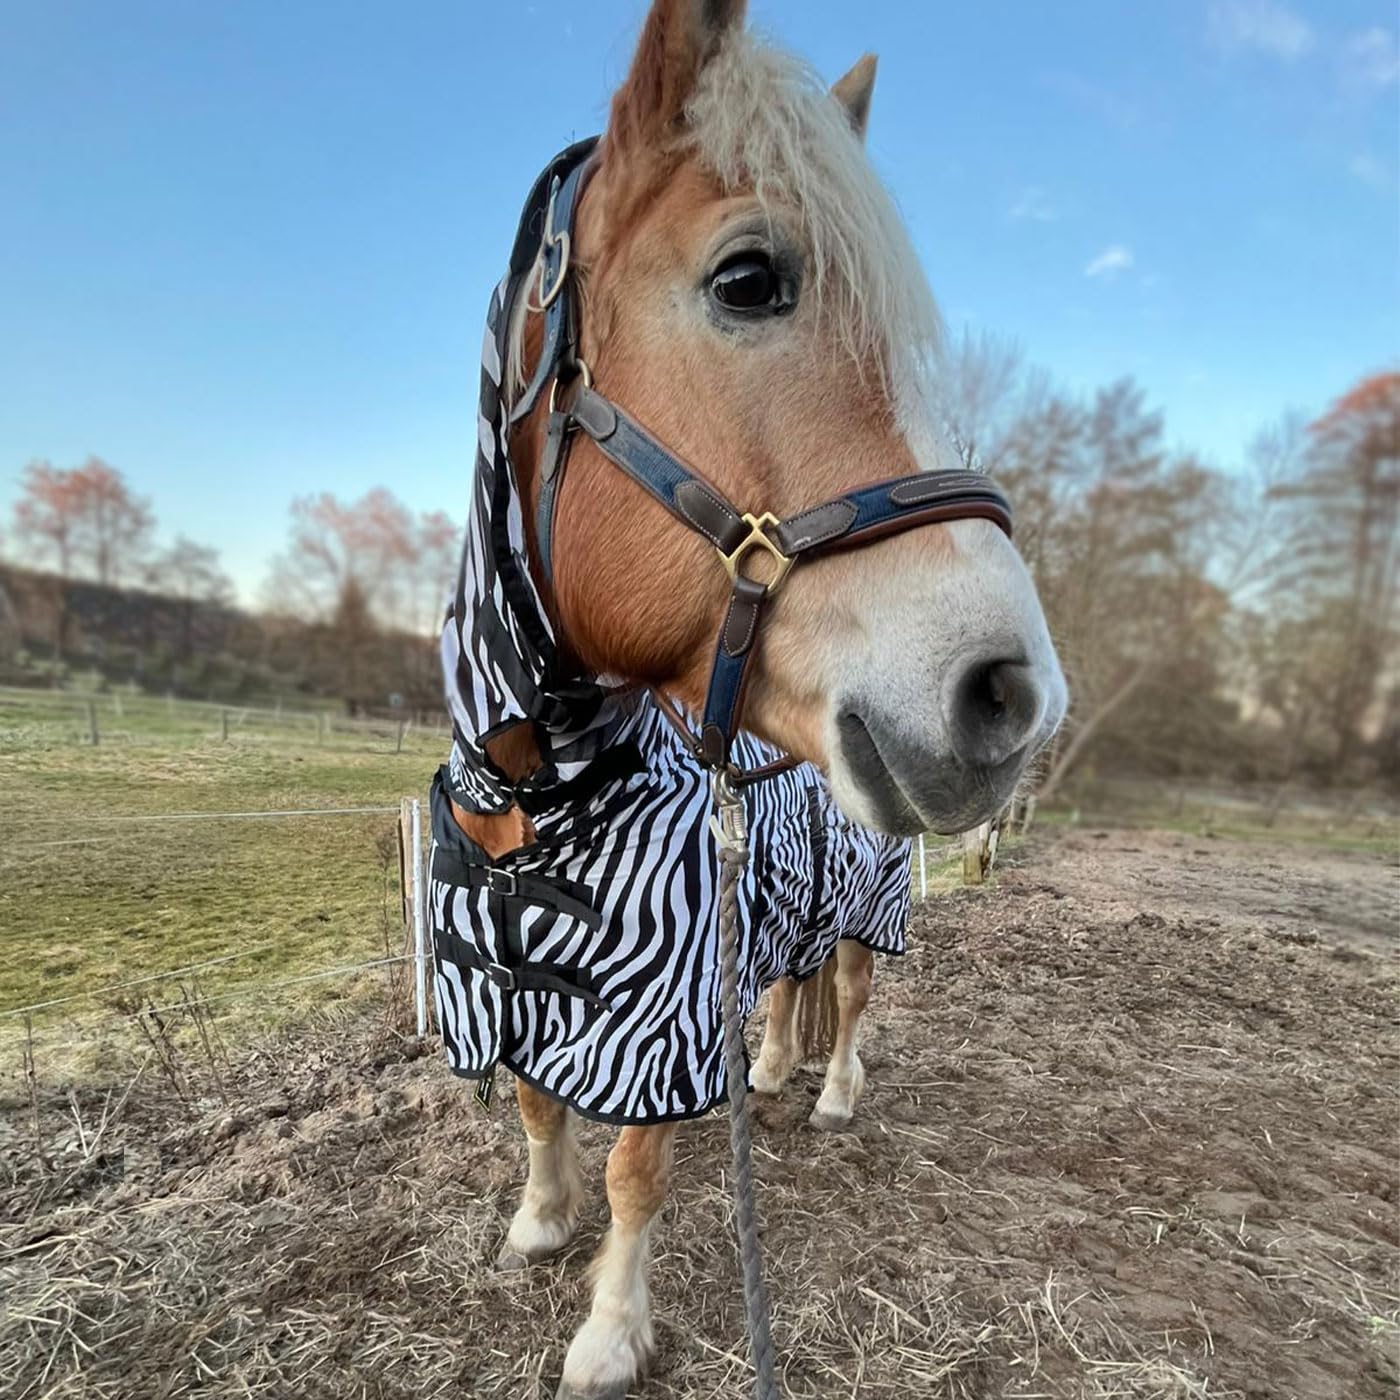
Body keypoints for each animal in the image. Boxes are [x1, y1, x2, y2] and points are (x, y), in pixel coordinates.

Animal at [434, 3, 1066, 1396]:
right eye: (747, 281)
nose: (1011, 696)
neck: (542, 799)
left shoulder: (659, 1022)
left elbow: (637, 1165)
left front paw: (610, 1328)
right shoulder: (528, 998)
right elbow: (536, 1104)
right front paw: (537, 1218)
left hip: (865, 905)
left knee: (853, 993)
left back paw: (826, 1091)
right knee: (787, 990)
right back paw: (775, 1069)